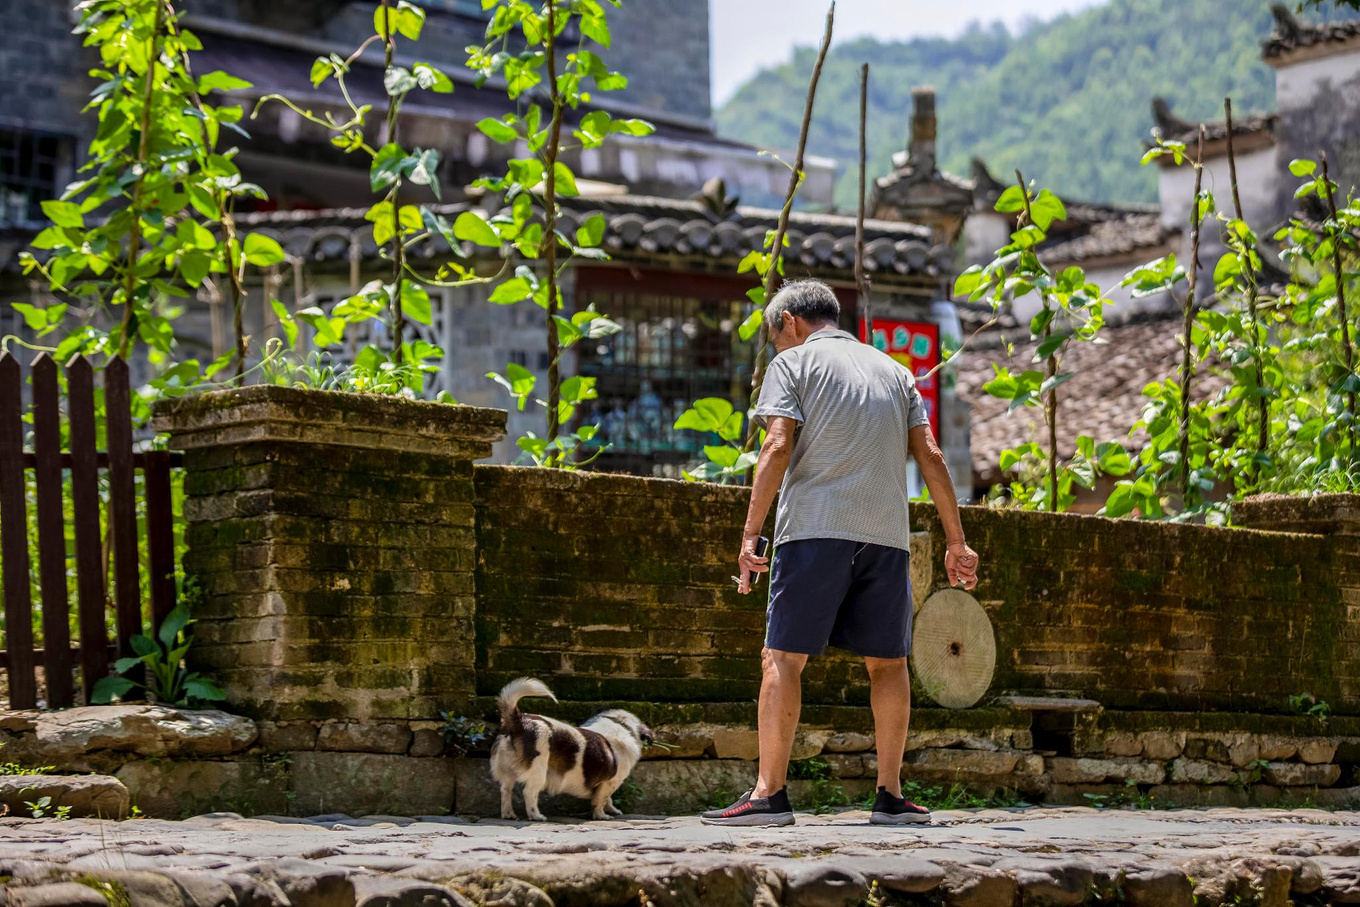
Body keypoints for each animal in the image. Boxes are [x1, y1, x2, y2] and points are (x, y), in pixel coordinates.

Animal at [495, 674, 652, 821]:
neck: (619, 724)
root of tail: (519, 720)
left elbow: (607, 799)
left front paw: (612, 810)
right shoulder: (610, 782)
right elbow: (601, 800)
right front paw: (601, 816)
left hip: (507, 771)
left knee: (505, 790)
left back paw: (509, 814)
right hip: (538, 771)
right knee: (529, 793)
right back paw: (536, 816)